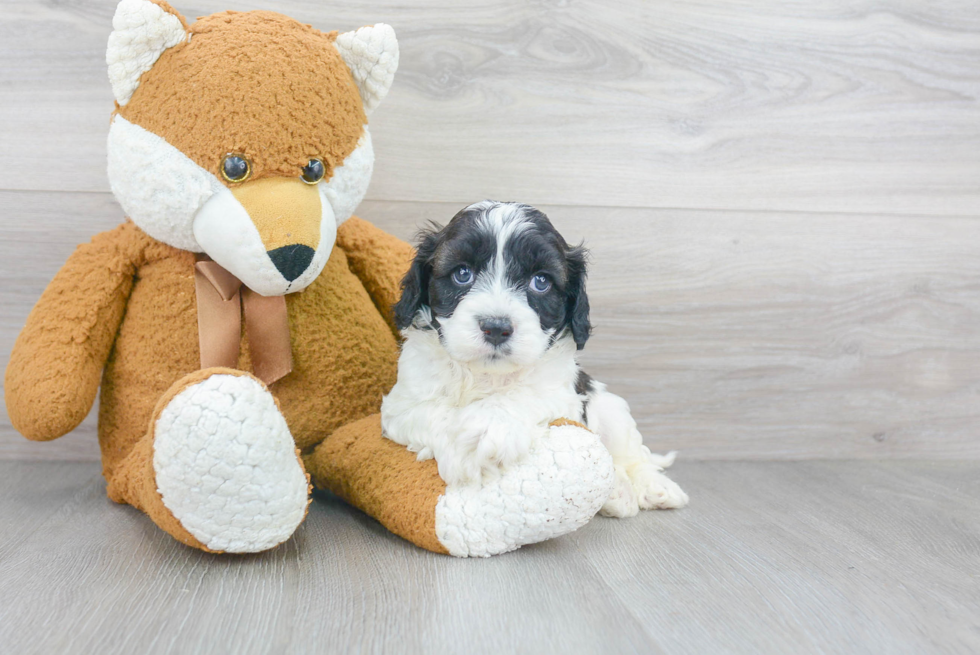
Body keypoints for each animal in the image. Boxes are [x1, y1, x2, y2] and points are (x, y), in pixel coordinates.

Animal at [378, 200, 684, 516]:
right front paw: (460, 451)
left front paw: (486, 429)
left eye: (541, 281)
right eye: (462, 274)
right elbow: (431, 411)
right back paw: (619, 492)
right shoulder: (401, 404)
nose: (496, 327)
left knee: (632, 454)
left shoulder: (562, 393)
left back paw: (650, 487)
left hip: (611, 409)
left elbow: (524, 395)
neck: (486, 375)